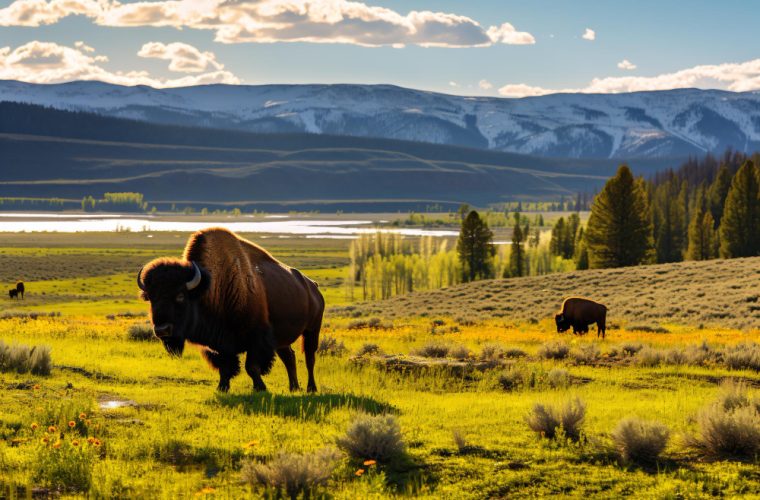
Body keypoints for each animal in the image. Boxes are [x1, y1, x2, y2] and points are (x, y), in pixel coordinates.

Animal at [137, 228, 324, 394]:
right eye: (151, 297)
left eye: (180, 295)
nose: (162, 330)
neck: (211, 286)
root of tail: (313, 286)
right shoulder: (219, 344)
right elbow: (225, 367)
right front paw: (222, 388)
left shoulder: (257, 338)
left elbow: (252, 367)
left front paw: (260, 388)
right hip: (282, 340)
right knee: (289, 357)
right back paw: (294, 388)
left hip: (312, 330)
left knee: (309, 358)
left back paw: (311, 388)